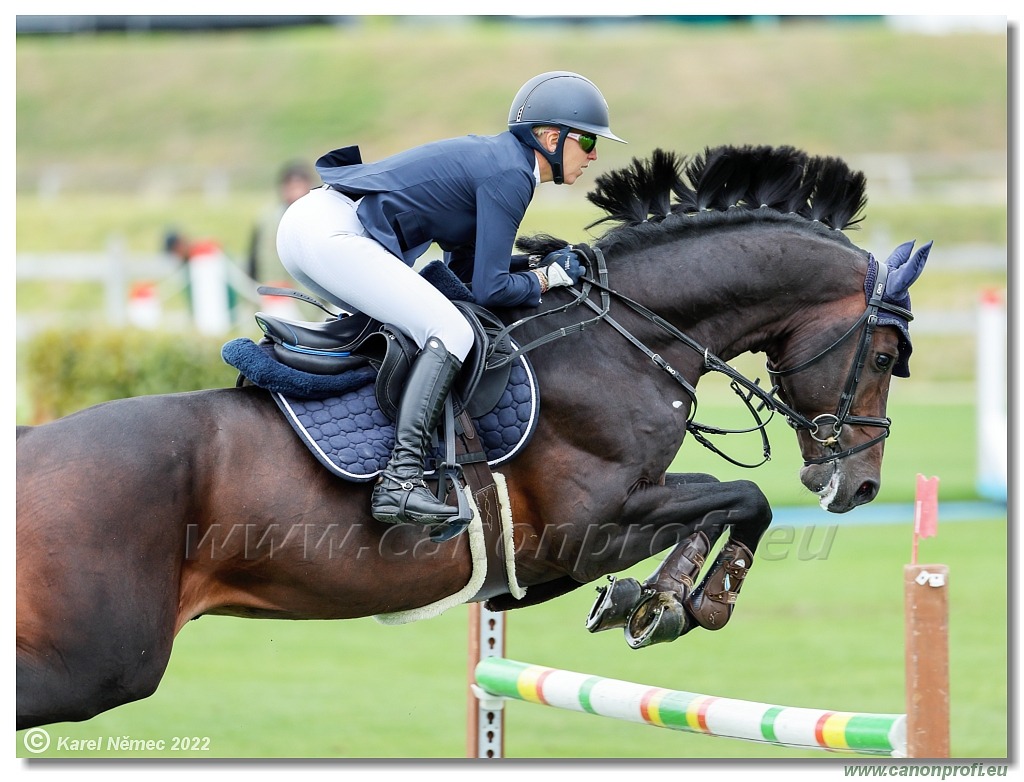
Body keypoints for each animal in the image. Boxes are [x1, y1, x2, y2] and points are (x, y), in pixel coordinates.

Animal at [14, 143, 929, 728]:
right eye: (885, 354)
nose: (860, 486)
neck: (628, 337)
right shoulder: (590, 524)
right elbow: (741, 498)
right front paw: (684, 602)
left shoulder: (540, 567)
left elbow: (725, 504)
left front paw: (650, 600)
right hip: (100, 660)